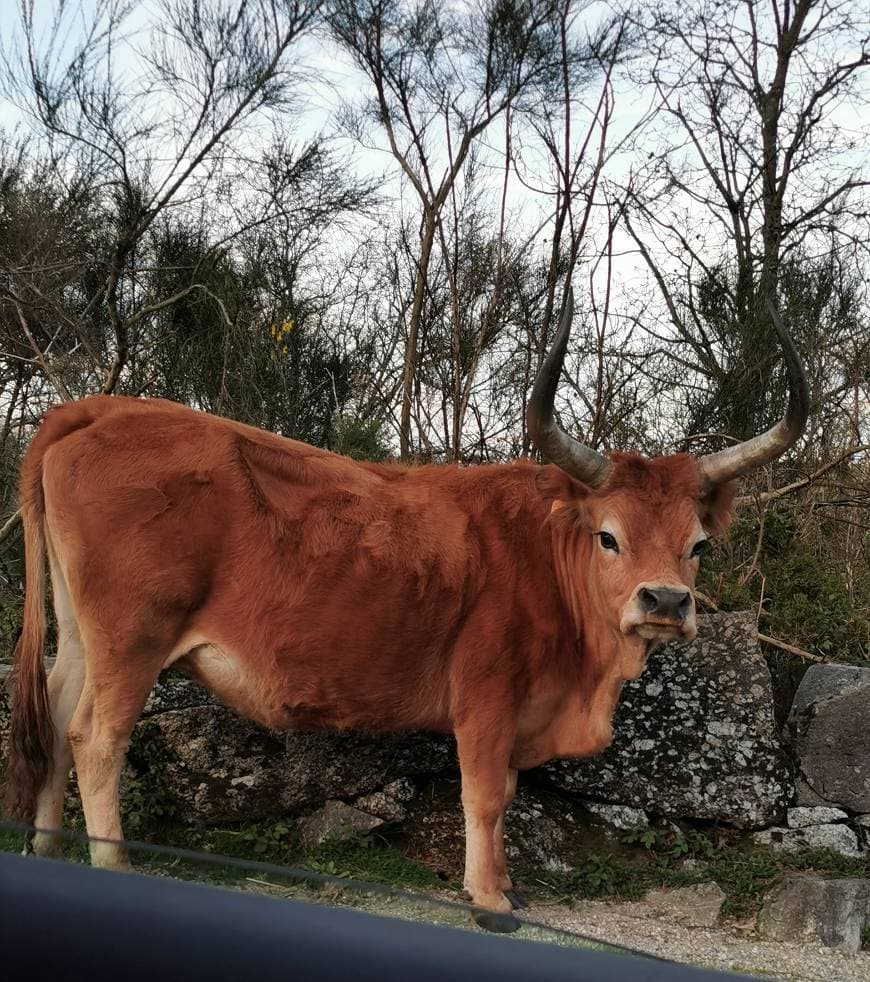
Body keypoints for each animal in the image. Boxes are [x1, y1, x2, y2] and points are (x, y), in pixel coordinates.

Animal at [3, 292, 808, 932]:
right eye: (609, 536)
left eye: (698, 544)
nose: (666, 600)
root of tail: (97, 408)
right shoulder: (486, 698)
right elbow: (485, 796)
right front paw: (490, 899)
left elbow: (504, 793)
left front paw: (504, 885)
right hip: (132, 640)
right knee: (94, 738)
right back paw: (114, 866)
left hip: (82, 637)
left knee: (56, 712)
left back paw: (48, 849)